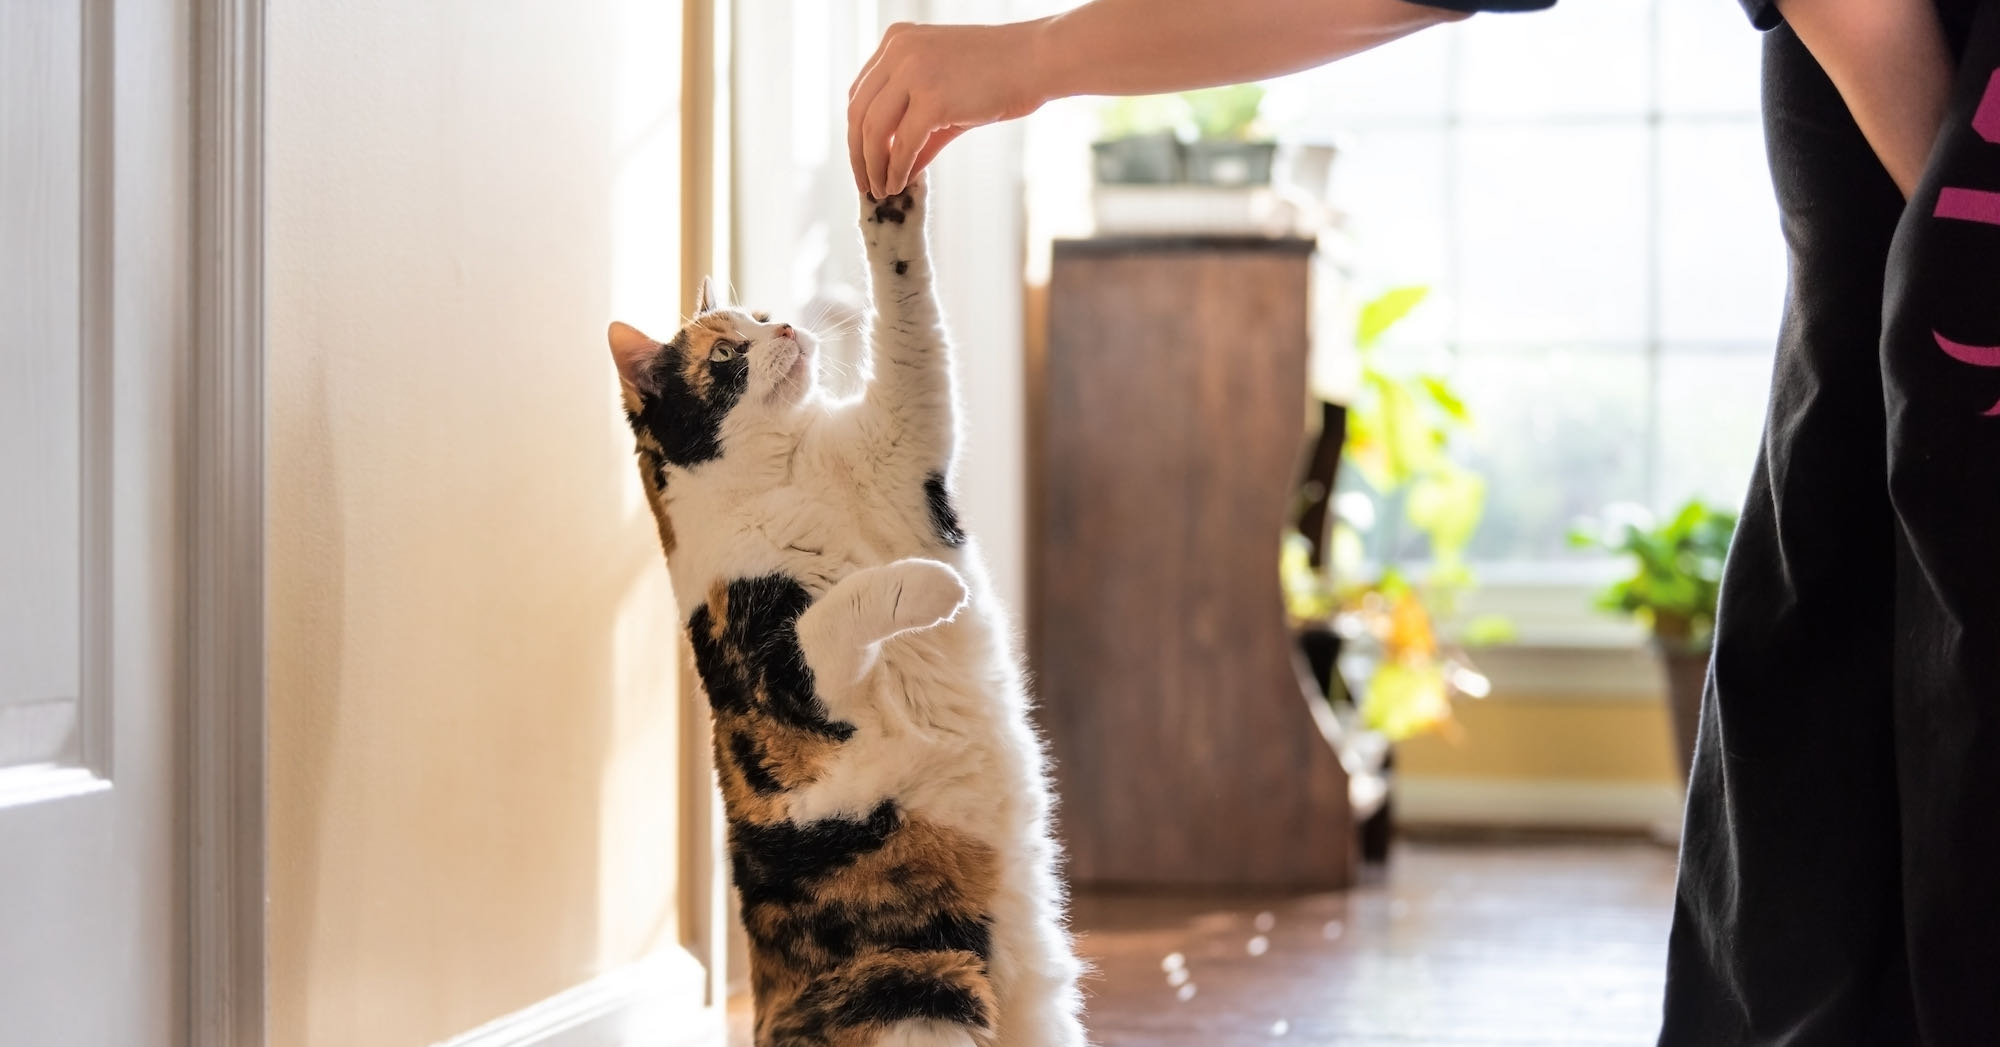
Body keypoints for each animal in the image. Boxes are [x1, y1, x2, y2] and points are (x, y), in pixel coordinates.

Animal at [604, 179, 1088, 1047]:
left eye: (762, 314)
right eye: (725, 355)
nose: (787, 328)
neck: (793, 473)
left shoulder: (902, 431)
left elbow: (909, 321)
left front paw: (890, 201)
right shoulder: (774, 672)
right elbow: (836, 613)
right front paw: (931, 586)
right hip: (919, 991)